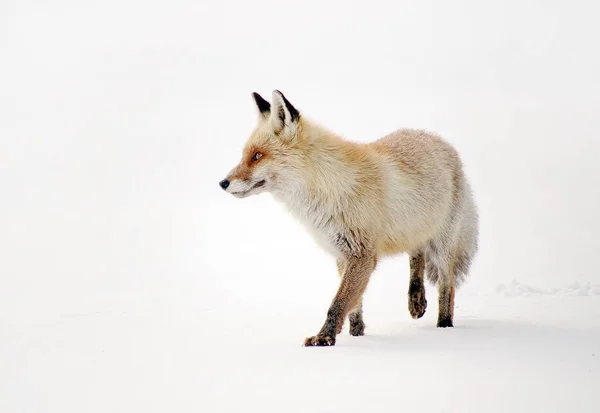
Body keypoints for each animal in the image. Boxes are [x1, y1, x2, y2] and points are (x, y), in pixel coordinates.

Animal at [219, 90, 478, 344]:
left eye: (257, 156)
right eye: (245, 155)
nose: (223, 183)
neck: (329, 188)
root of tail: (440, 140)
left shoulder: (361, 254)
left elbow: (339, 302)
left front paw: (324, 338)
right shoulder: (341, 253)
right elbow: (354, 305)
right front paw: (357, 335)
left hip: (442, 246)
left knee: (447, 287)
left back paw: (444, 326)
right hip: (414, 228)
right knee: (416, 255)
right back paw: (416, 298)